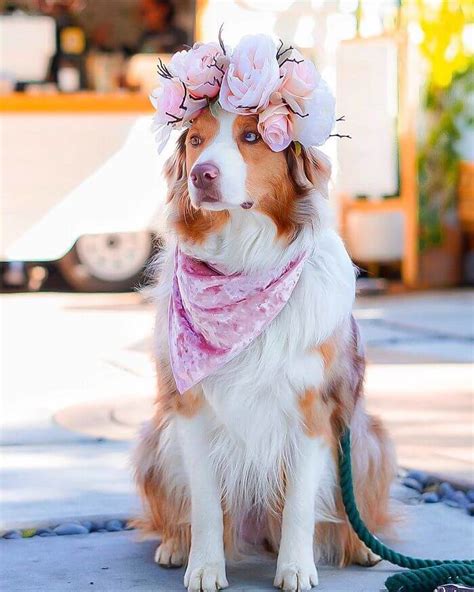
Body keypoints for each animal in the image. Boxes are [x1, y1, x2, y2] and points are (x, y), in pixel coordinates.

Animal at [133, 106, 396, 592]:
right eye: (195, 141)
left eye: (252, 136)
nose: (201, 175)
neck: (244, 263)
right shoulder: (192, 410)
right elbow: (205, 504)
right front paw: (205, 566)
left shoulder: (314, 412)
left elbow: (299, 504)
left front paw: (296, 569)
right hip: (157, 440)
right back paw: (175, 545)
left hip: (366, 439)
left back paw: (363, 547)